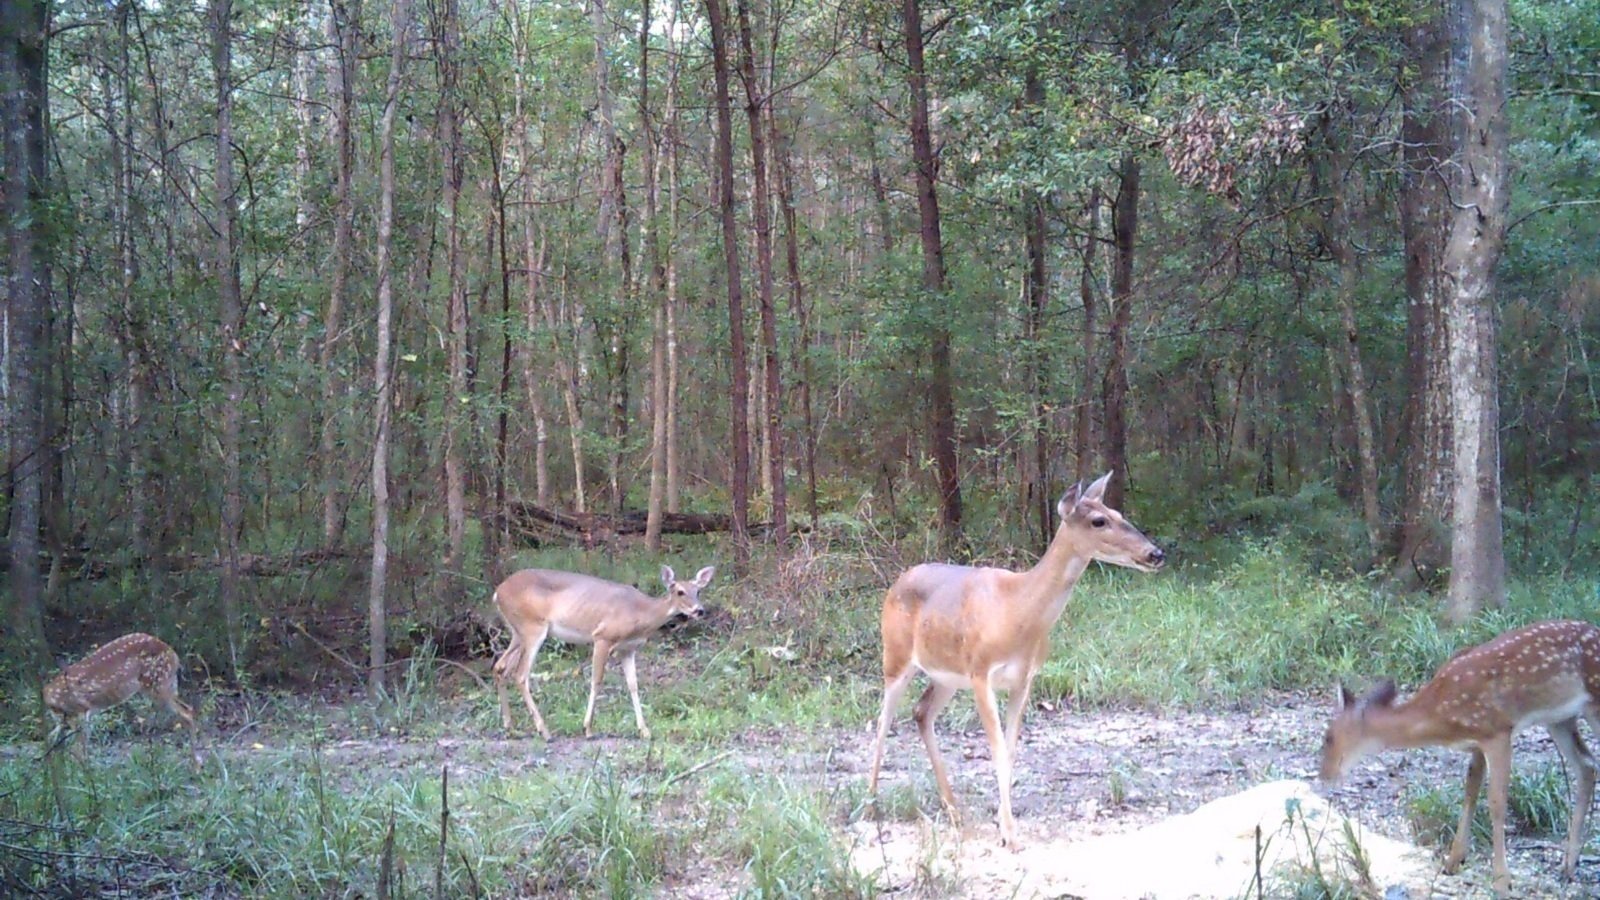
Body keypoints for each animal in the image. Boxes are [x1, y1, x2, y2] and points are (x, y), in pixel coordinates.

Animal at [43, 632, 199, 763]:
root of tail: (174, 654)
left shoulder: (81, 712)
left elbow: (78, 751)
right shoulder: (65, 720)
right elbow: (52, 741)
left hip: (158, 685)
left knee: (186, 712)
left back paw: (196, 768)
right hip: (163, 684)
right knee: (188, 709)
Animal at [491, 565, 713, 740]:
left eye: (698, 591)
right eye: (680, 591)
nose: (699, 610)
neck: (640, 614)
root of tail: (497, 592)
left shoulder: (628, 649)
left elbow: (633, 685)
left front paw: (644, 730)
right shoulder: (602, 637)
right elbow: (596, 681)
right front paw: (588, 728)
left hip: (517, 632)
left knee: (500, 667)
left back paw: (509, 726)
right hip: (532, 626)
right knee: (520, 674)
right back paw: (544, 731)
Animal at [867, 471, 1165, 847]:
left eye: (1118, 512)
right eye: (1099, 520)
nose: (1155, 553)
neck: (1017, 611)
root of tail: (896, 584)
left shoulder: (1024, 679)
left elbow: (1010, 749)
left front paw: (1003, 822)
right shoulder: (981, 672)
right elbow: (996, 748)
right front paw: (1009, 832)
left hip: (947, 674)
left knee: (921, 712)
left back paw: (954, 810)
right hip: (896, 655)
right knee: (883, 721)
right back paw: (871, 805)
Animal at [1320, 619, 1600, 895]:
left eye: (1328, 737)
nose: (1324, 775)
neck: (1441, 715)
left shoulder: (1497, 731)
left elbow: (1496, 802)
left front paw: (1501, 880)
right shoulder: (1476, 743)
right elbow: (1470, 791)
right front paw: (1453, 861)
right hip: (1560, 718)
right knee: (1586, 765)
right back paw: (1568, 865)